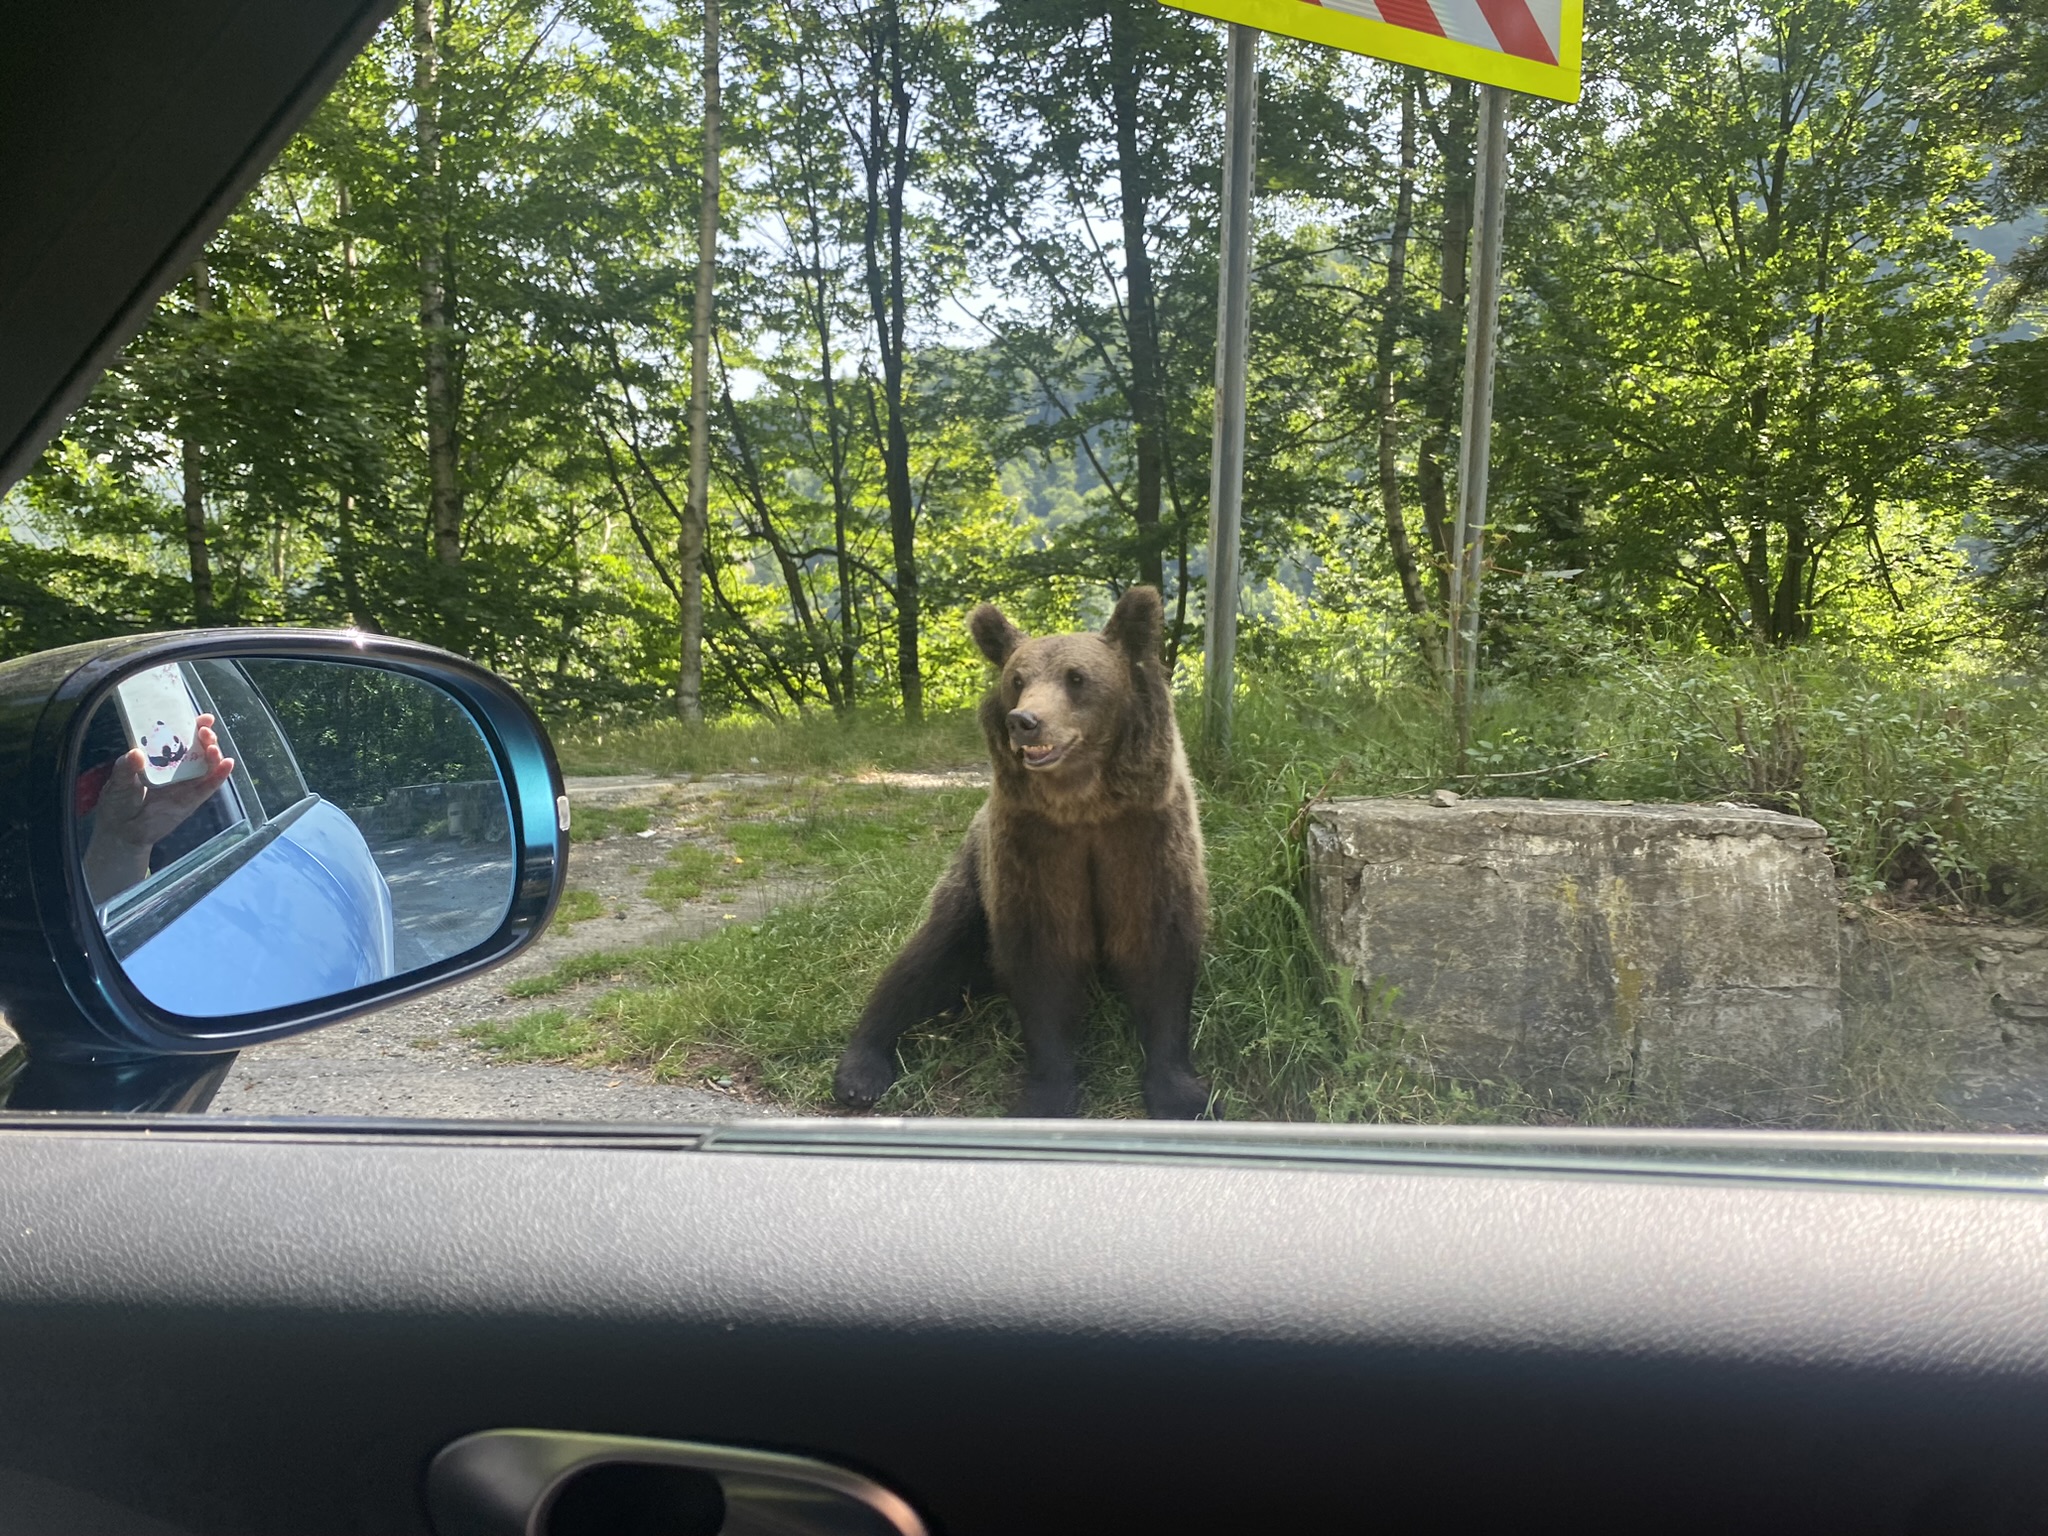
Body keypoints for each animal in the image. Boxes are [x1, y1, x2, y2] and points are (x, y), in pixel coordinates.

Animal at [831, 585, 1212, 1122]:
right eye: (1017, 679)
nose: (1025, 721)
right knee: (923, 961)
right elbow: (1041, 962)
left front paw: (1181, 1094)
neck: (1084, 807)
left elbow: (1158, 952)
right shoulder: (1034, 848)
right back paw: (860, 1072)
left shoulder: (1143, 839)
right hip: (969, 887)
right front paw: (1047, 1095)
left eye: (1077, 678)